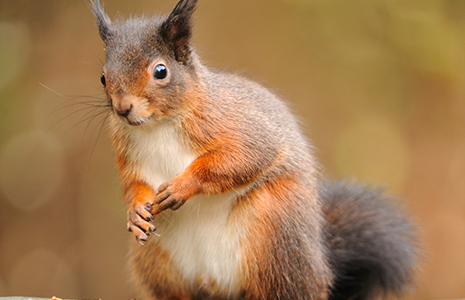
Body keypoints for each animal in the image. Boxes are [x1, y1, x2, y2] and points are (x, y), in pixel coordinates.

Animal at [89, 1, 416, 298]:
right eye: (103, 77)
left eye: (160, 71)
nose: (123, 108)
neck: (156, 126)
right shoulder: (127, 153)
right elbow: (133, 185)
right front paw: (135, 212)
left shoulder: (237, 124)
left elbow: (248, 155)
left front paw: (182, 185)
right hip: (156, 262)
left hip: (274, 237)